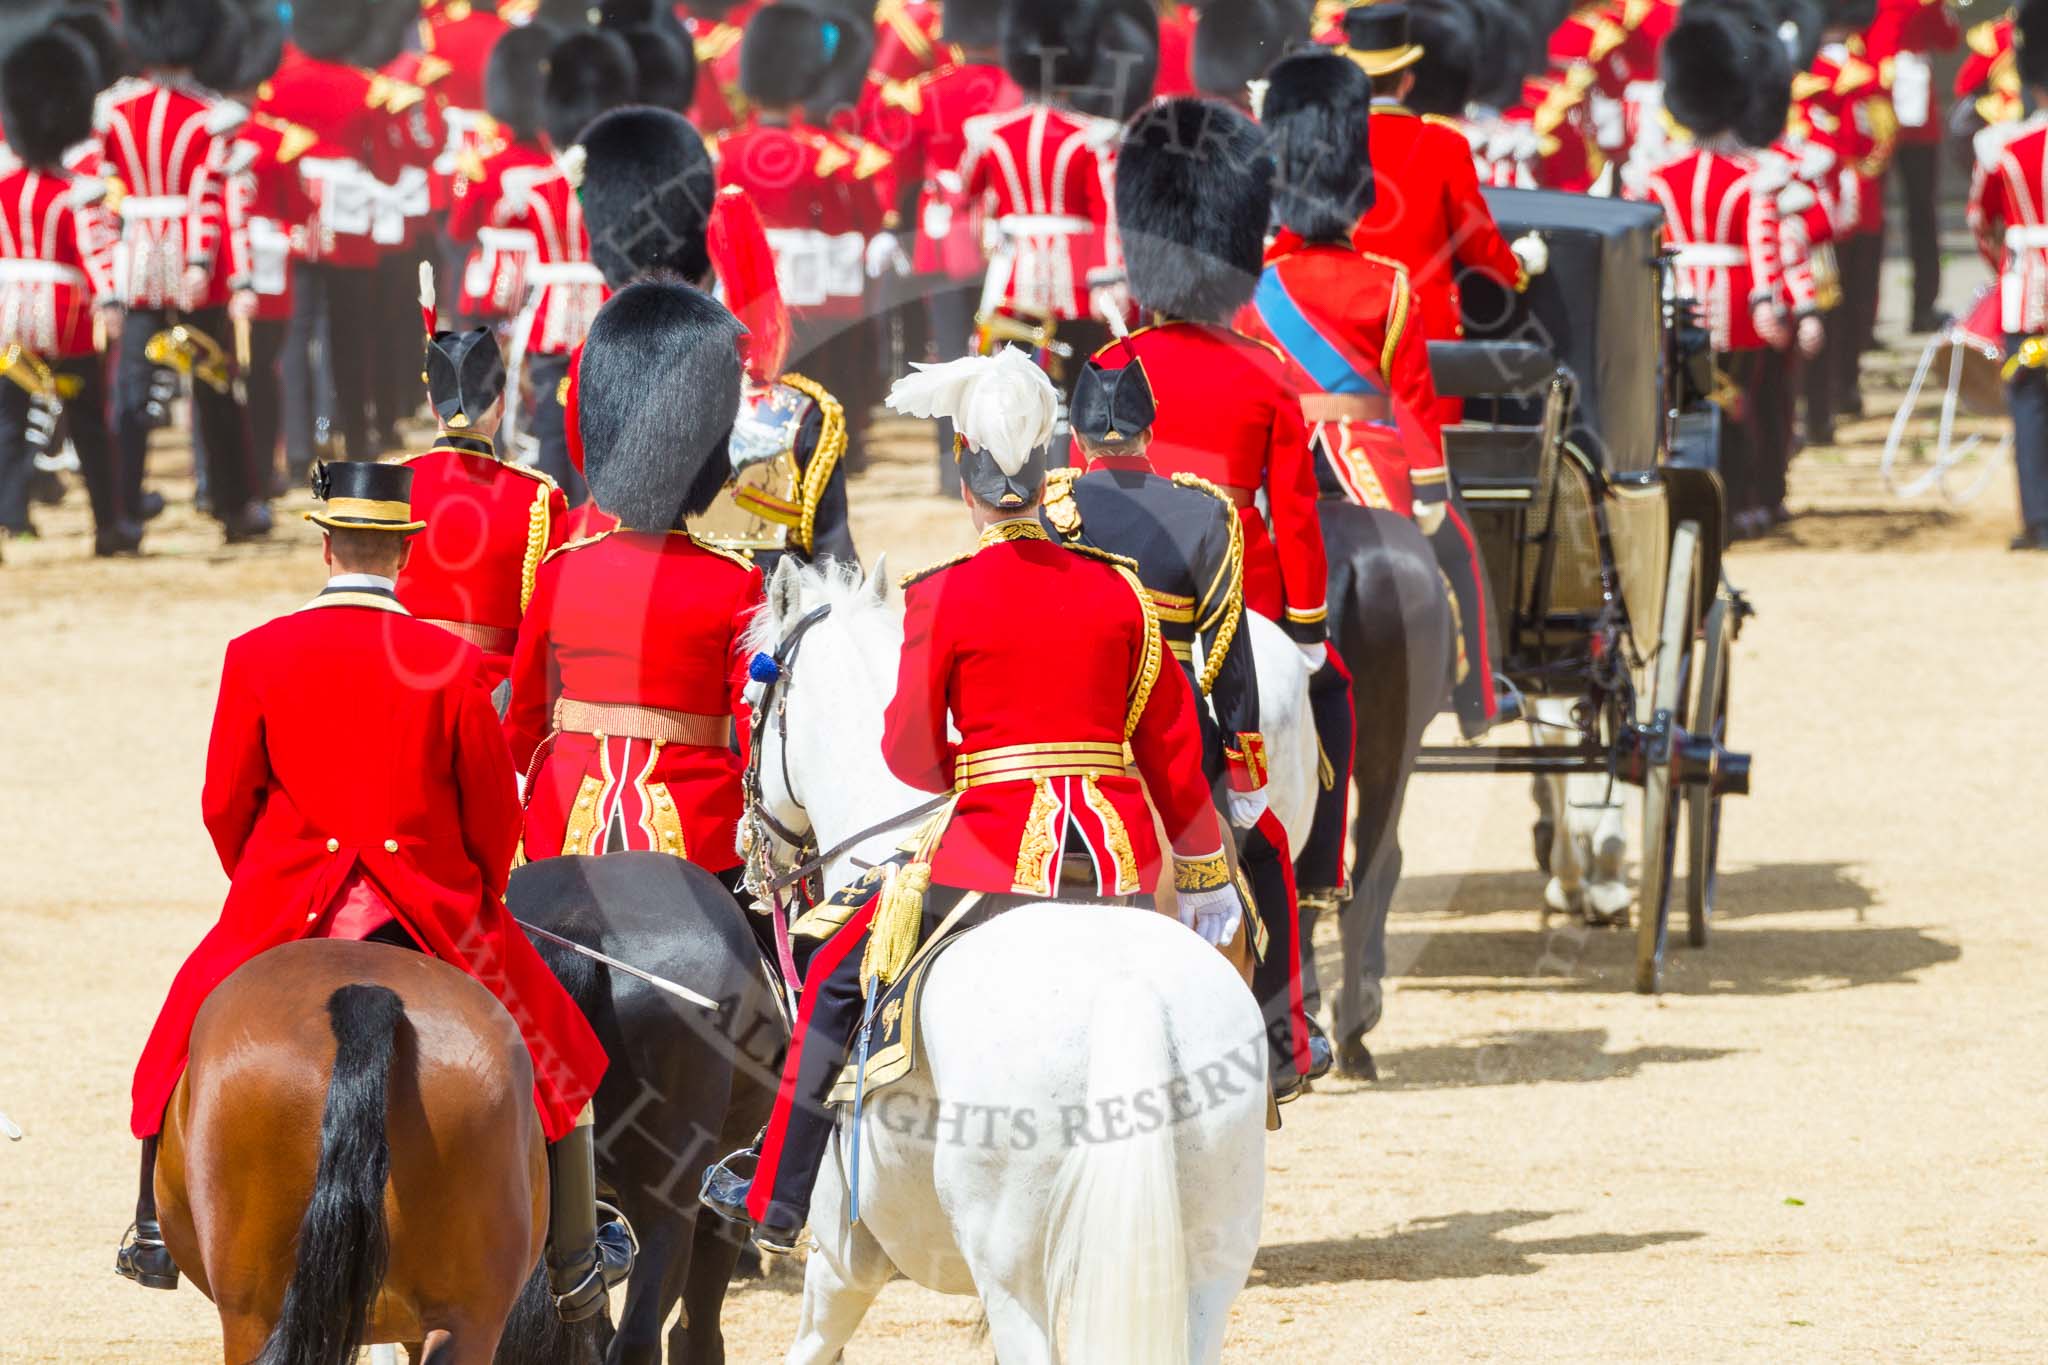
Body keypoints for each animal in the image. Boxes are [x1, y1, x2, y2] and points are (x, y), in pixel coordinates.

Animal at [749, 556, 1294, 1365]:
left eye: (747, 702)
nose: (751, 855)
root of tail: (1127, 992)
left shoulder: (845, 1259)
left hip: (1012, 1275)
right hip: (1211, 1260)